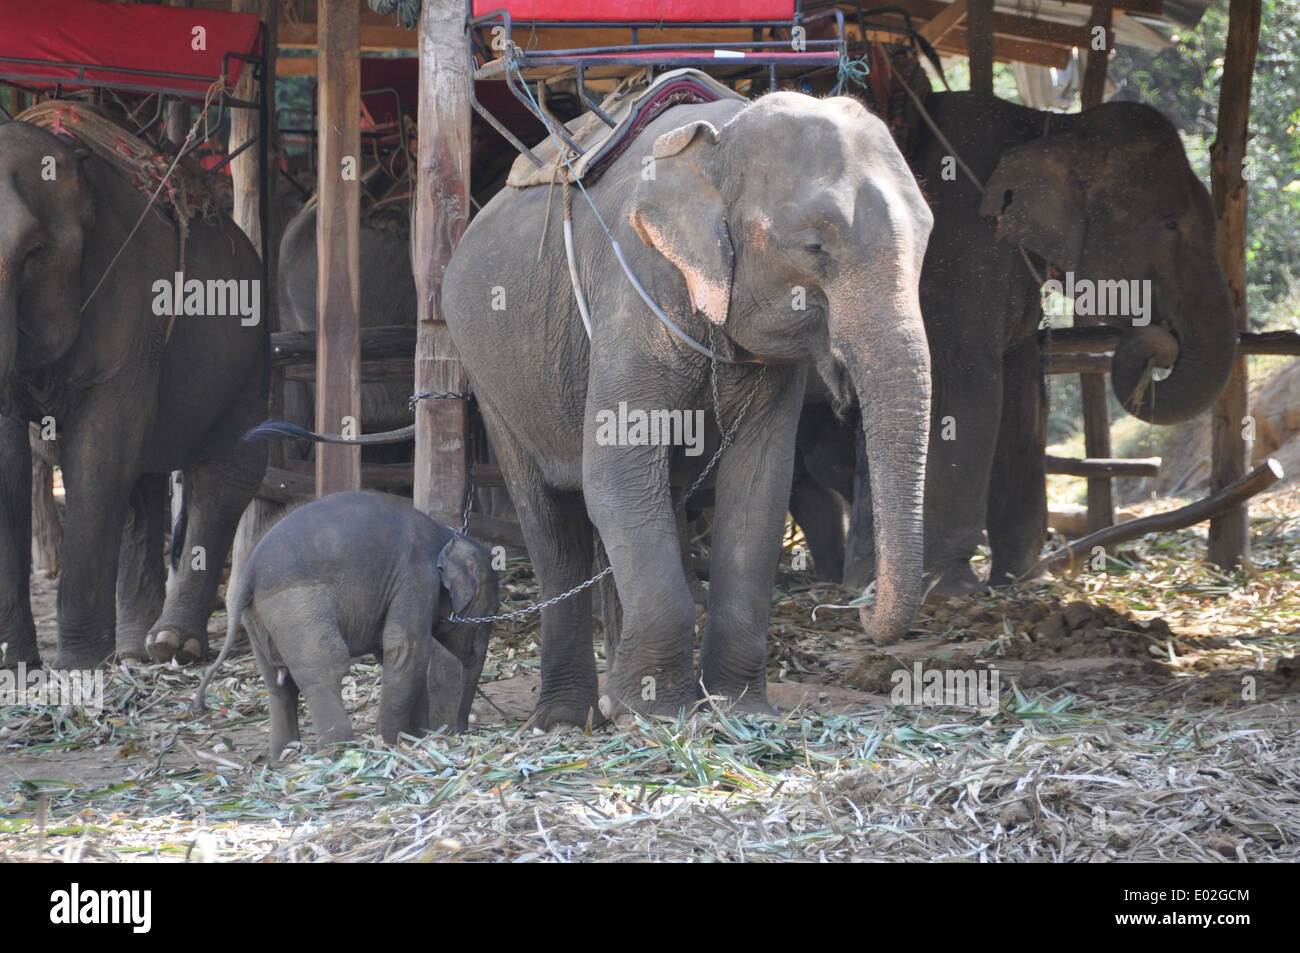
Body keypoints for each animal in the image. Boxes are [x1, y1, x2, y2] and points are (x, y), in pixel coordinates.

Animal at [0, 120, 269, 670]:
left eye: (34, 253)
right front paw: (15, 663)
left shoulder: (131, 302)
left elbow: (98, 451)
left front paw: (76, 667)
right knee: (142, 479)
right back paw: (132, 651)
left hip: (249, 355)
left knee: (225, 473)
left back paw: (172, 644)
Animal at [192, 491, 496, 759]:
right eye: (489, 617)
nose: (460, 731)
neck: (449, 537)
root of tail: (248, 572)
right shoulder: (417, 577)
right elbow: (405, 648)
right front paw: (391, 743)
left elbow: (401, 655)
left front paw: (416, 738)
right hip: (297, 605)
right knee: (326, 666)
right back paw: (341, 751)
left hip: (258, 618)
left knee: (278, 682)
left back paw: (284, 758)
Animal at [447, 92, 935, 722]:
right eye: (814, 247)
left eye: (926, 239)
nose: (863, 610)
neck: (721, 140)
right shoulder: (635, 294)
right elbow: (616, 474)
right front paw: (655, 713)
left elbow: (759, 486)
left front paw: (737, 707)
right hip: (491, 378)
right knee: (552, 526)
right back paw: (565, 718)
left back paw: (607, 700)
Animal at [790, 92, 1237, 590]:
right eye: (1170, 224)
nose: (1162, 340)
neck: (1052, 127)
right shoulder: (953, 247)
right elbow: (965, 383)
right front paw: (949, 584)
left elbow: (1022, 389)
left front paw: (1022, 578)